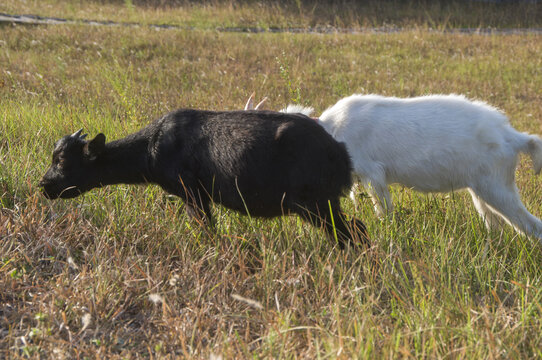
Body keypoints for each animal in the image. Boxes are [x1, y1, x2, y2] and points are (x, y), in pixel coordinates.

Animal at [39, 109, 370, 248]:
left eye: (62, 160)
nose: (45, 185)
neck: (151, 146)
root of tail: (340, 154)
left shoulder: (193, 194)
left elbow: (205, 230)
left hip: (315, 205)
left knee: (350, 234)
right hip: (323, 205)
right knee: (357, 229)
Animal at [318, 93, 542, 239]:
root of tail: (513, 137)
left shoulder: (373, 174)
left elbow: (384, 211)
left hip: (497, 188)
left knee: (532, 226)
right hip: (481, 191)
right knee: (496, 226)